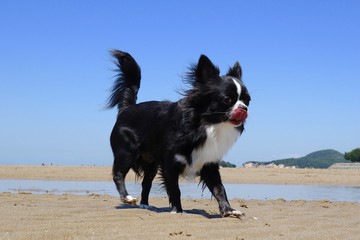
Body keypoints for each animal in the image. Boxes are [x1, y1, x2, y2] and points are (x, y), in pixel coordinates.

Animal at [108, 49, 252, 217]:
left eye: (248, 101)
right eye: (227, 99)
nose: (244, 108)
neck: (206, 125)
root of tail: (126, 108)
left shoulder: (208, 163)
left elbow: (219, 188)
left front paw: (228, 210)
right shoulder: (170, 164)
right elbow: (175, 189)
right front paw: (178, 210)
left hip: (151, 163)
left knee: (146, 182)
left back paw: (144, 204)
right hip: (127, 152)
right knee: (118, 174)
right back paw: (127, 197)